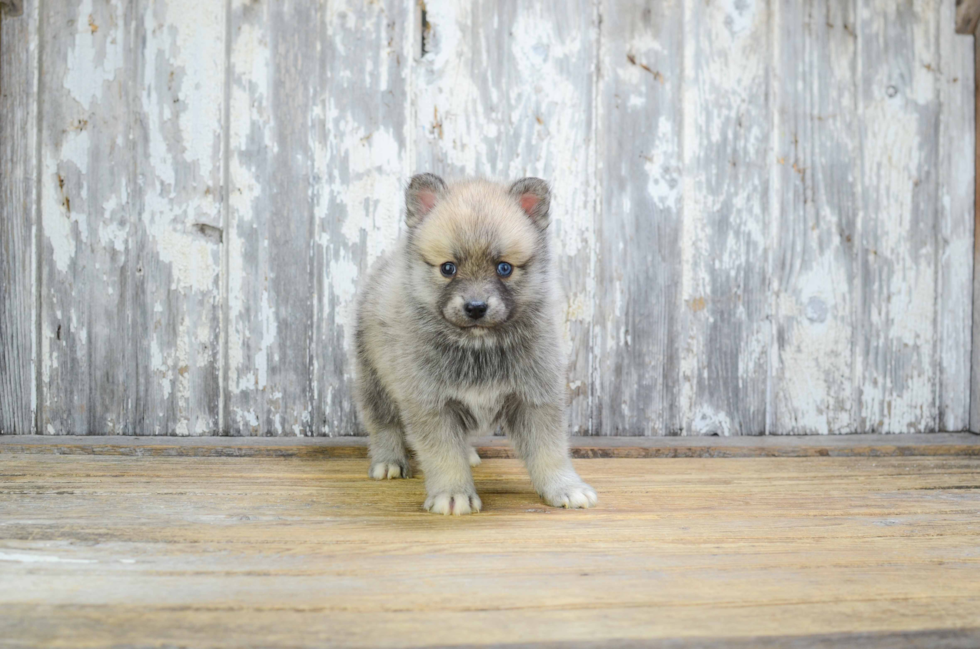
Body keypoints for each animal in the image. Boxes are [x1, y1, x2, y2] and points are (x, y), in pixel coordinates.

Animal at [352, 173, 596, 516]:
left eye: (504, 268)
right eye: (448, 268)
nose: (476, 307)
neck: (479, 348)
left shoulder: (535, 399)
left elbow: (550, 450)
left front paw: (565, 487)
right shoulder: (432, 404)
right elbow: (443, 455)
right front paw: (453, 493)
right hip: (375, 380)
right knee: (383, 424)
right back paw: (389, 461)